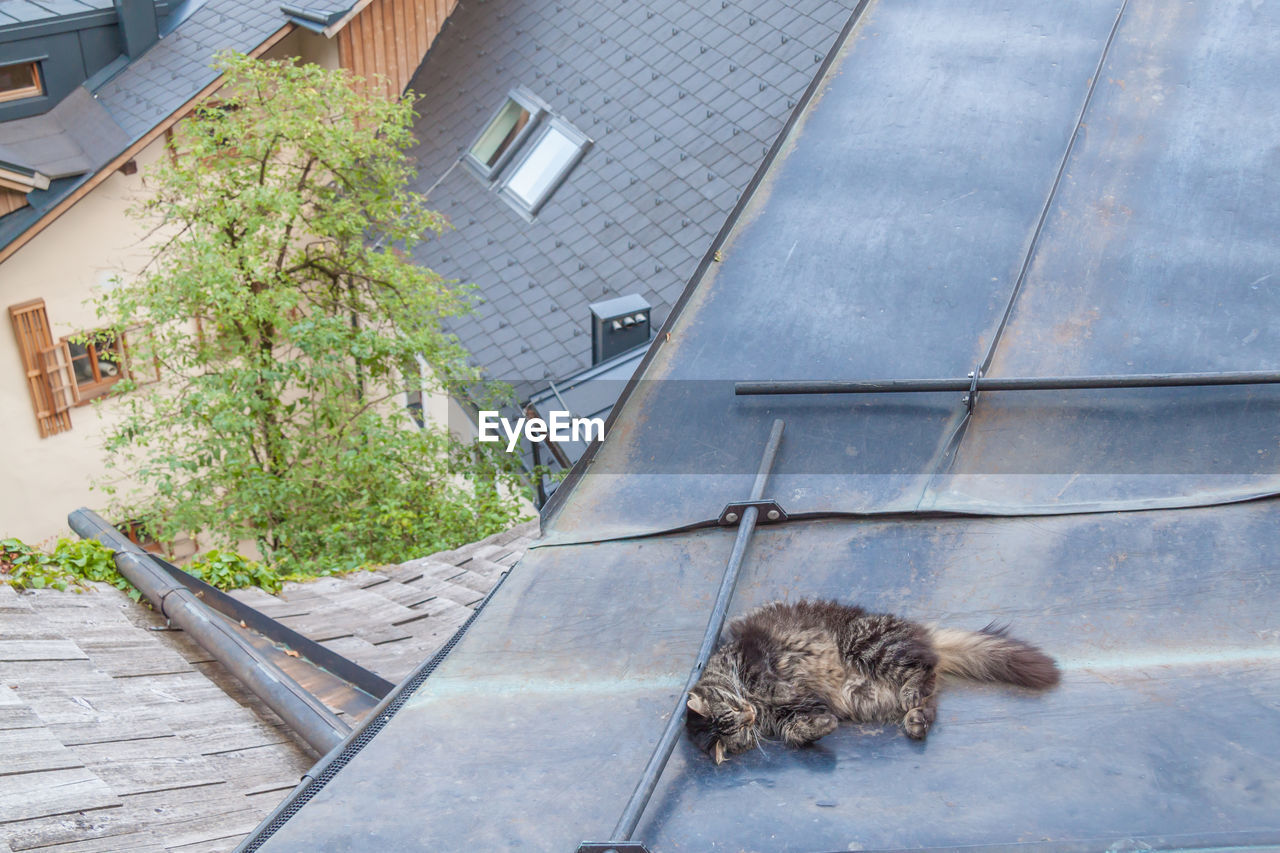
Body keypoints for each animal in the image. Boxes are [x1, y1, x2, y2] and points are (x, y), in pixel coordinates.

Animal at [691, 594, 1059, 758]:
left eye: (733, 709)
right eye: (739, 729)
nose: (750, 714)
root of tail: (923, 634)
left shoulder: (754, 654)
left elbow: (768, 682)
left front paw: (776, 690)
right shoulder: (792, 713)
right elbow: (798, 730)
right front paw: (820, 727)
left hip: (866, 645)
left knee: (924, 668)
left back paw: (914, 696)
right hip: (865, 694)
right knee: (931, 697)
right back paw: (916, 721)